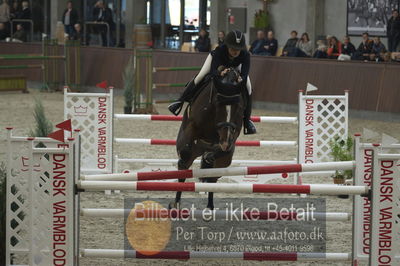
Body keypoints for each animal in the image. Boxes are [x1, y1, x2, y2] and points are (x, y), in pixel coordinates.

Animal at [170, 68, 245, 210]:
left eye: (238, 106)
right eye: (218, 103)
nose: (225, 142)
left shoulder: (235, 129)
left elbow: (227, 146)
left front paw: (210, 156)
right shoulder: (193, 124)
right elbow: (185, 152)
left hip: (223, 163)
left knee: (212, 179)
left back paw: (210, 207)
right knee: (184, 171)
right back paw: (175, 204)